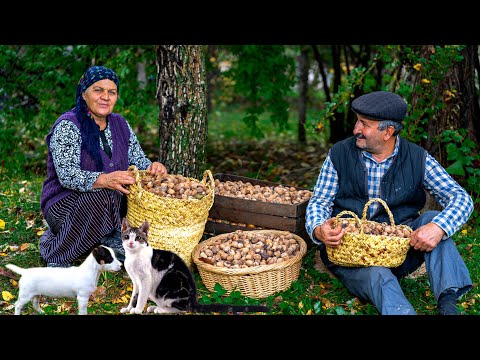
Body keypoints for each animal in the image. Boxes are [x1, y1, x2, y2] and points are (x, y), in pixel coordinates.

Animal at [119, 217, 270, 316]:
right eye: (126, 237)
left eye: (138, 238)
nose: (131, 243)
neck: (133, 256)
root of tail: (193, 300)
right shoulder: (136, 281)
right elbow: (134, 296)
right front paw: (128, 308)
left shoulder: (145, 279)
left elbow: (141, 297)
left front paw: (137, 310)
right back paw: (155, 307)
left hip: (168, 285)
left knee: (184, 309)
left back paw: (160, 309)